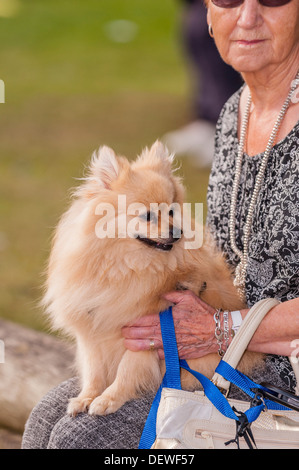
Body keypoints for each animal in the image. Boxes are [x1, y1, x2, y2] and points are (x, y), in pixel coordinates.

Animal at [42, 141, 258, 416]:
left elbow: (127, 370)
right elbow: (94, 371)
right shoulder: (92, 332)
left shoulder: (146, 335)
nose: (177, 232)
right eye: (147, 216)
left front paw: (108, 399)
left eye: (172, 211)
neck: (124, 266)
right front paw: (87, 397)